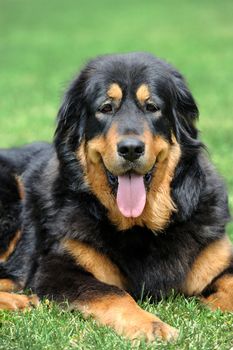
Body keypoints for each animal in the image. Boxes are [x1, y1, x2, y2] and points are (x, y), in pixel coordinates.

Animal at [0, 52, 233, 342]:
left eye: (152, 107)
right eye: (106, 108)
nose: (131, 149)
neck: (142, 227)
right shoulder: (56, 270)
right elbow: (112, 293)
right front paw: (150, 325)